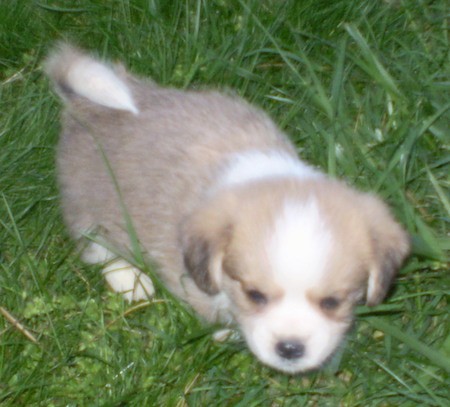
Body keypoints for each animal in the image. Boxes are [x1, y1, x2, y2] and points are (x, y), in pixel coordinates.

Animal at [47, 45, 410, 376]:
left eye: (332, 302)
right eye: (254, 295)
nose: (290, 348)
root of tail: (84, 105)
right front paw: (228, 333)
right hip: (91, 209)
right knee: (98, 248)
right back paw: (130, 279)